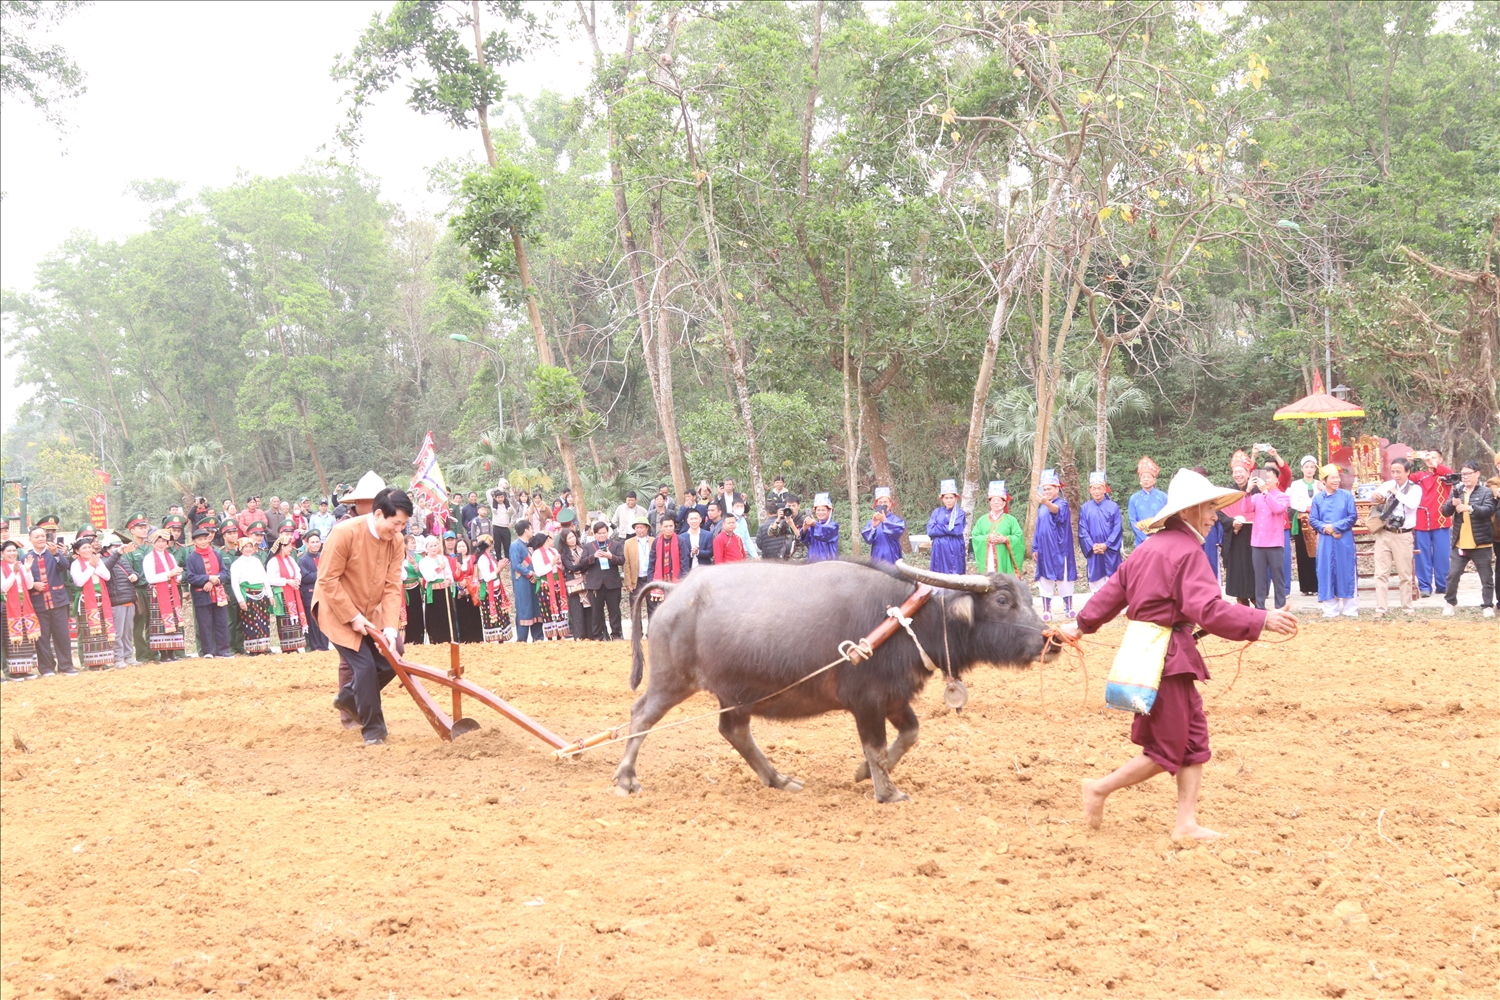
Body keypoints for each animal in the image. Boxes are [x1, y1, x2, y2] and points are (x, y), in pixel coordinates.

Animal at [615, 563, 1050, 803]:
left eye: (1028, 598)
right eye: (1003, 601)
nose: (1050, 639)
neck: (903, 620)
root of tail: (675, 589)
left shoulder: (895, 697)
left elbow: (910, 734)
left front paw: (862, 774)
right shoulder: (867, 701)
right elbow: (875, 746)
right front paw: (887, 792)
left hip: (736, 694)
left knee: (733, 730)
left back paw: (778, 779)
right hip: (671, 681)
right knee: (640, 717)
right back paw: (625, 779)